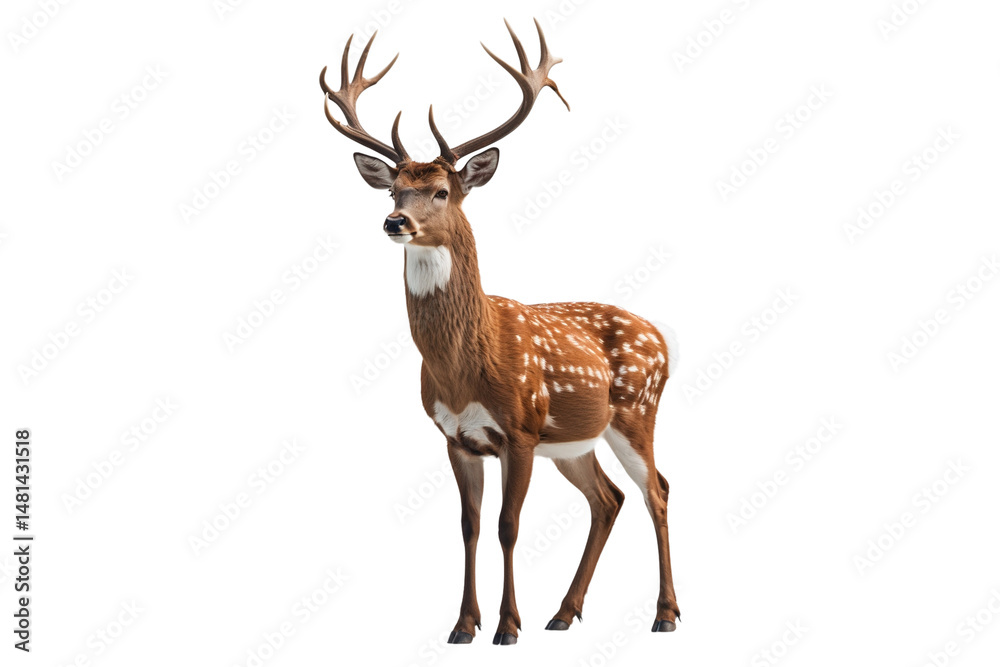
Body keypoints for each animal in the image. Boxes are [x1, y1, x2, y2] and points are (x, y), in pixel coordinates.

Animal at [320, 19, 680, 645]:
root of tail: (662, 338)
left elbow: (509, 525)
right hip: (575, 440)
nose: (394, 221)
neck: (464, 369)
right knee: (608, 498)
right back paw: (563, 613)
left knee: (656, 490)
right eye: (393, 190)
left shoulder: (521, 428)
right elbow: (469, 525)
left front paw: (508, 626)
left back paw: (663, 614)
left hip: (636, 410)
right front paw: (464, 624)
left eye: (442, 191)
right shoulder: (455, 436)